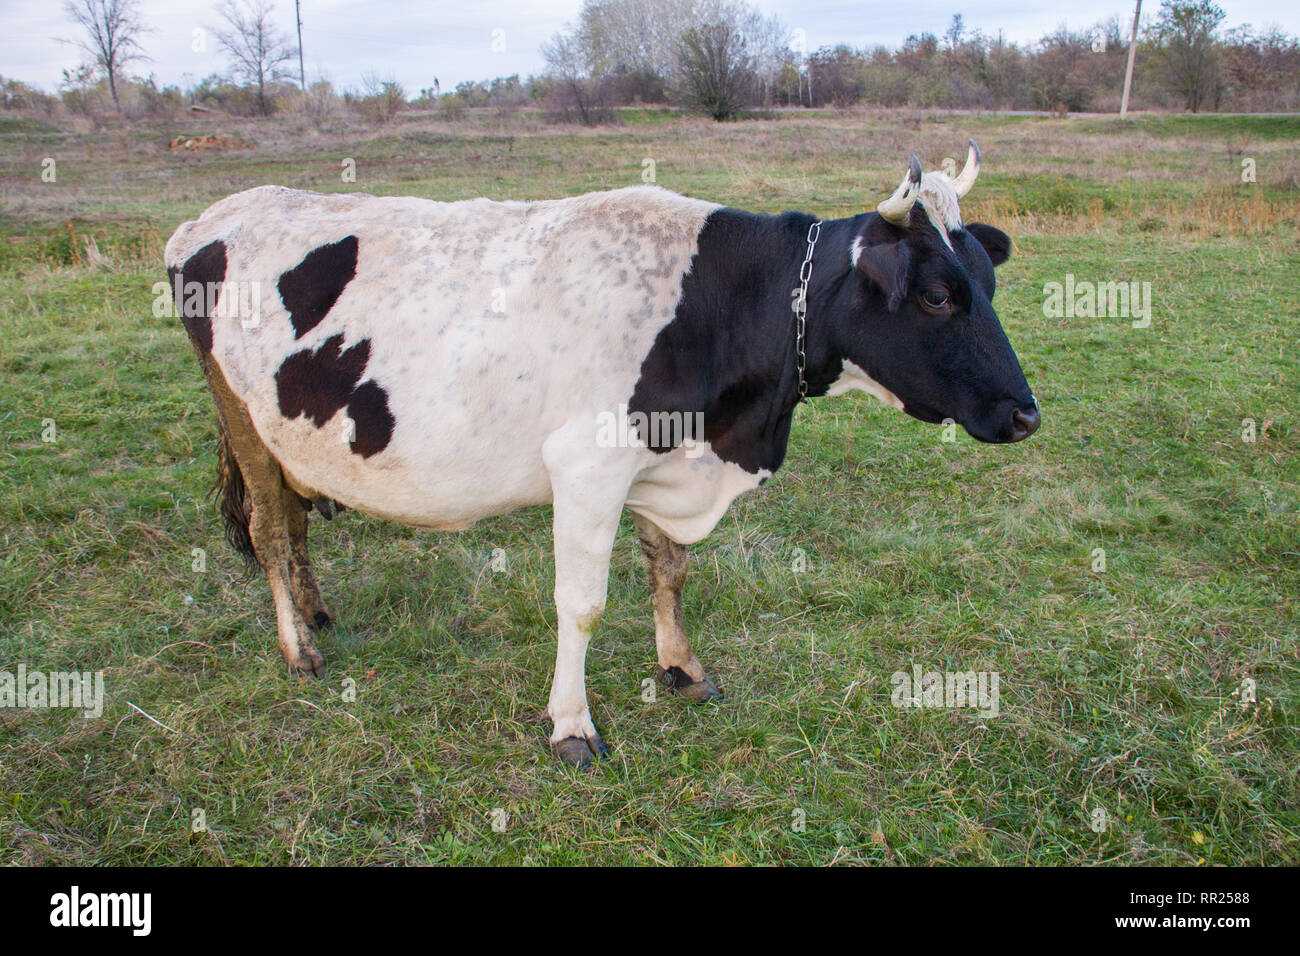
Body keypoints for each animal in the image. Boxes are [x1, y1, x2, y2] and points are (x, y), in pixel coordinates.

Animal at [164, 140, 1039, 767]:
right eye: (937, 295)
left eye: (990, 283)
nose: (1026, 414)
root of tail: (211, 218)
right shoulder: (588, 466)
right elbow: (581, 604)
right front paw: (571, 726)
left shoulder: (665, 459)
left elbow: (670, 571)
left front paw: (682, 668)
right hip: (240, 414)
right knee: (270, 532)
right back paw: (299, 649)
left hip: (286, 430)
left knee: (294, 521)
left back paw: (316, 611)